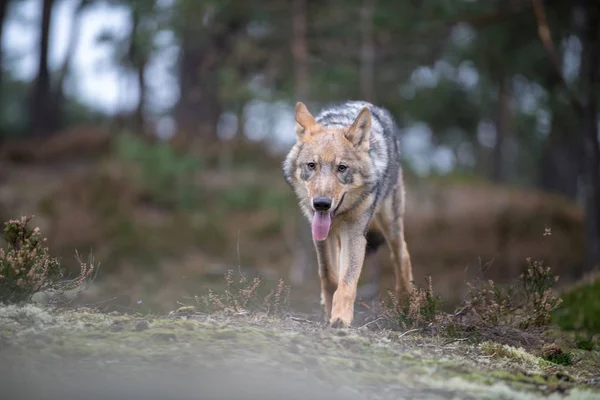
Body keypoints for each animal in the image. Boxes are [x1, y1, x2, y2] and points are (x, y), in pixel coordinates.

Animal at [284, 100, 414, 328]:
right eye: (312, 165)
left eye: (342, 168)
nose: (321, 204)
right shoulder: (320, 235)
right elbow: (329, 276)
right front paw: (328, 312)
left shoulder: (354, 235)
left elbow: (347, 282)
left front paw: (340, 318)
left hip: (390, 223)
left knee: (402, 255)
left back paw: (406, 306)